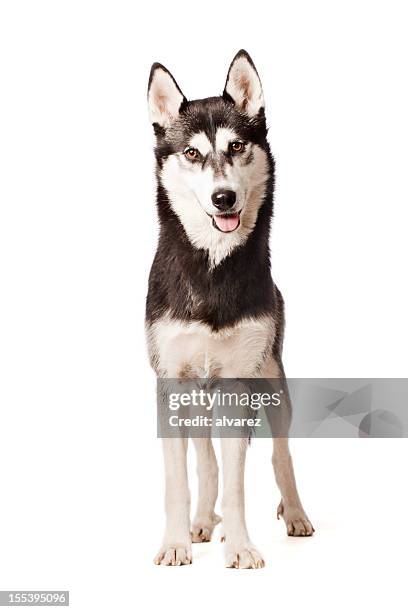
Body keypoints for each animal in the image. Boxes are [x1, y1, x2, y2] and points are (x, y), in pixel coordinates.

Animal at [147, 49, 316, 568]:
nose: (224, 197)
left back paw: (295, 514)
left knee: (281, 453)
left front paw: (241, 546)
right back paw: (202, 522)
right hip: (198, 399)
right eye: (192, 153)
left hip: (273, 383)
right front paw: (176, 542)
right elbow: (180, 479)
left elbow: (240, 482)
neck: (211, 268)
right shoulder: (171, 385)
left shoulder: (238, 384)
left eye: (237, 146)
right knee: (206, 461)